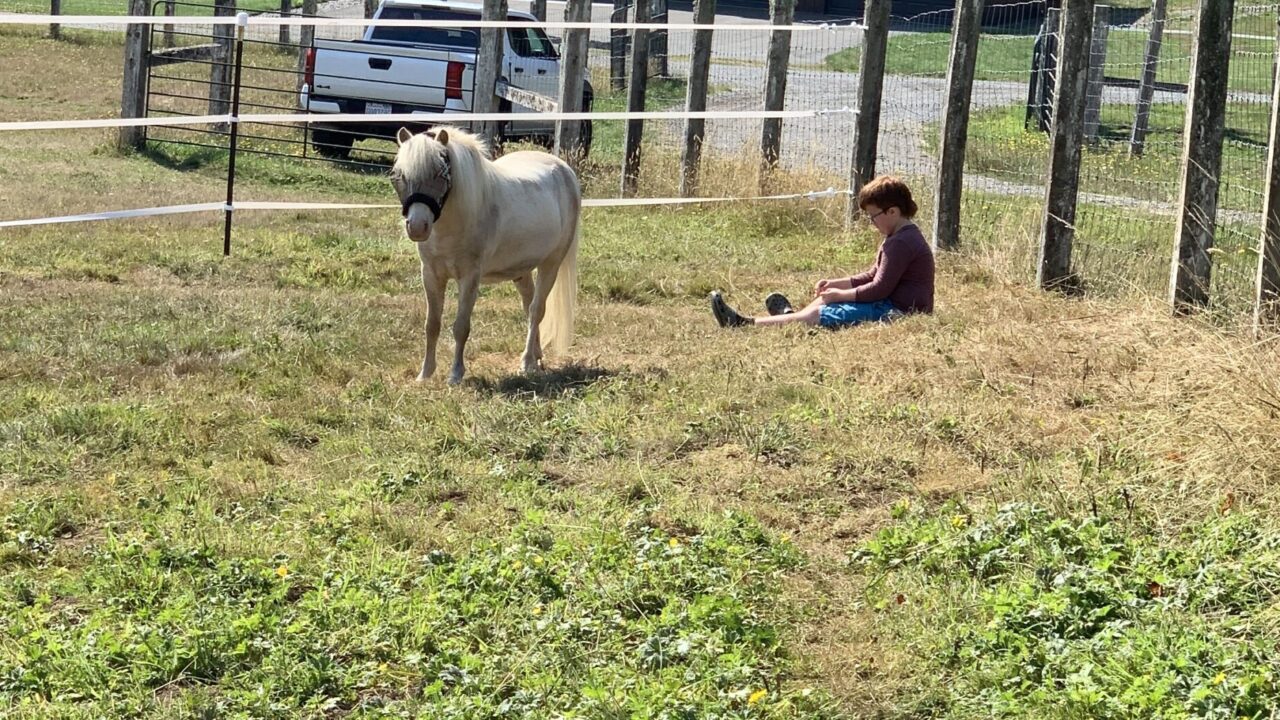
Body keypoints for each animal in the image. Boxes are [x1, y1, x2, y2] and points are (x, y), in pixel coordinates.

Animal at [390, 126, 581, 384]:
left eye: (441, 174)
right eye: (399, 175)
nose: (418, 227)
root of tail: (565, 169)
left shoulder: (470, 277)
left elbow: (461, 327)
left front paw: (455, 375)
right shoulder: (430, 275)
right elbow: (432, 324)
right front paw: (425, 374)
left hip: (551, 264)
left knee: (536, 310)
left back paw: (526, 362)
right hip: (521, 270)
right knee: (528, 305)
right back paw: (537, 358)